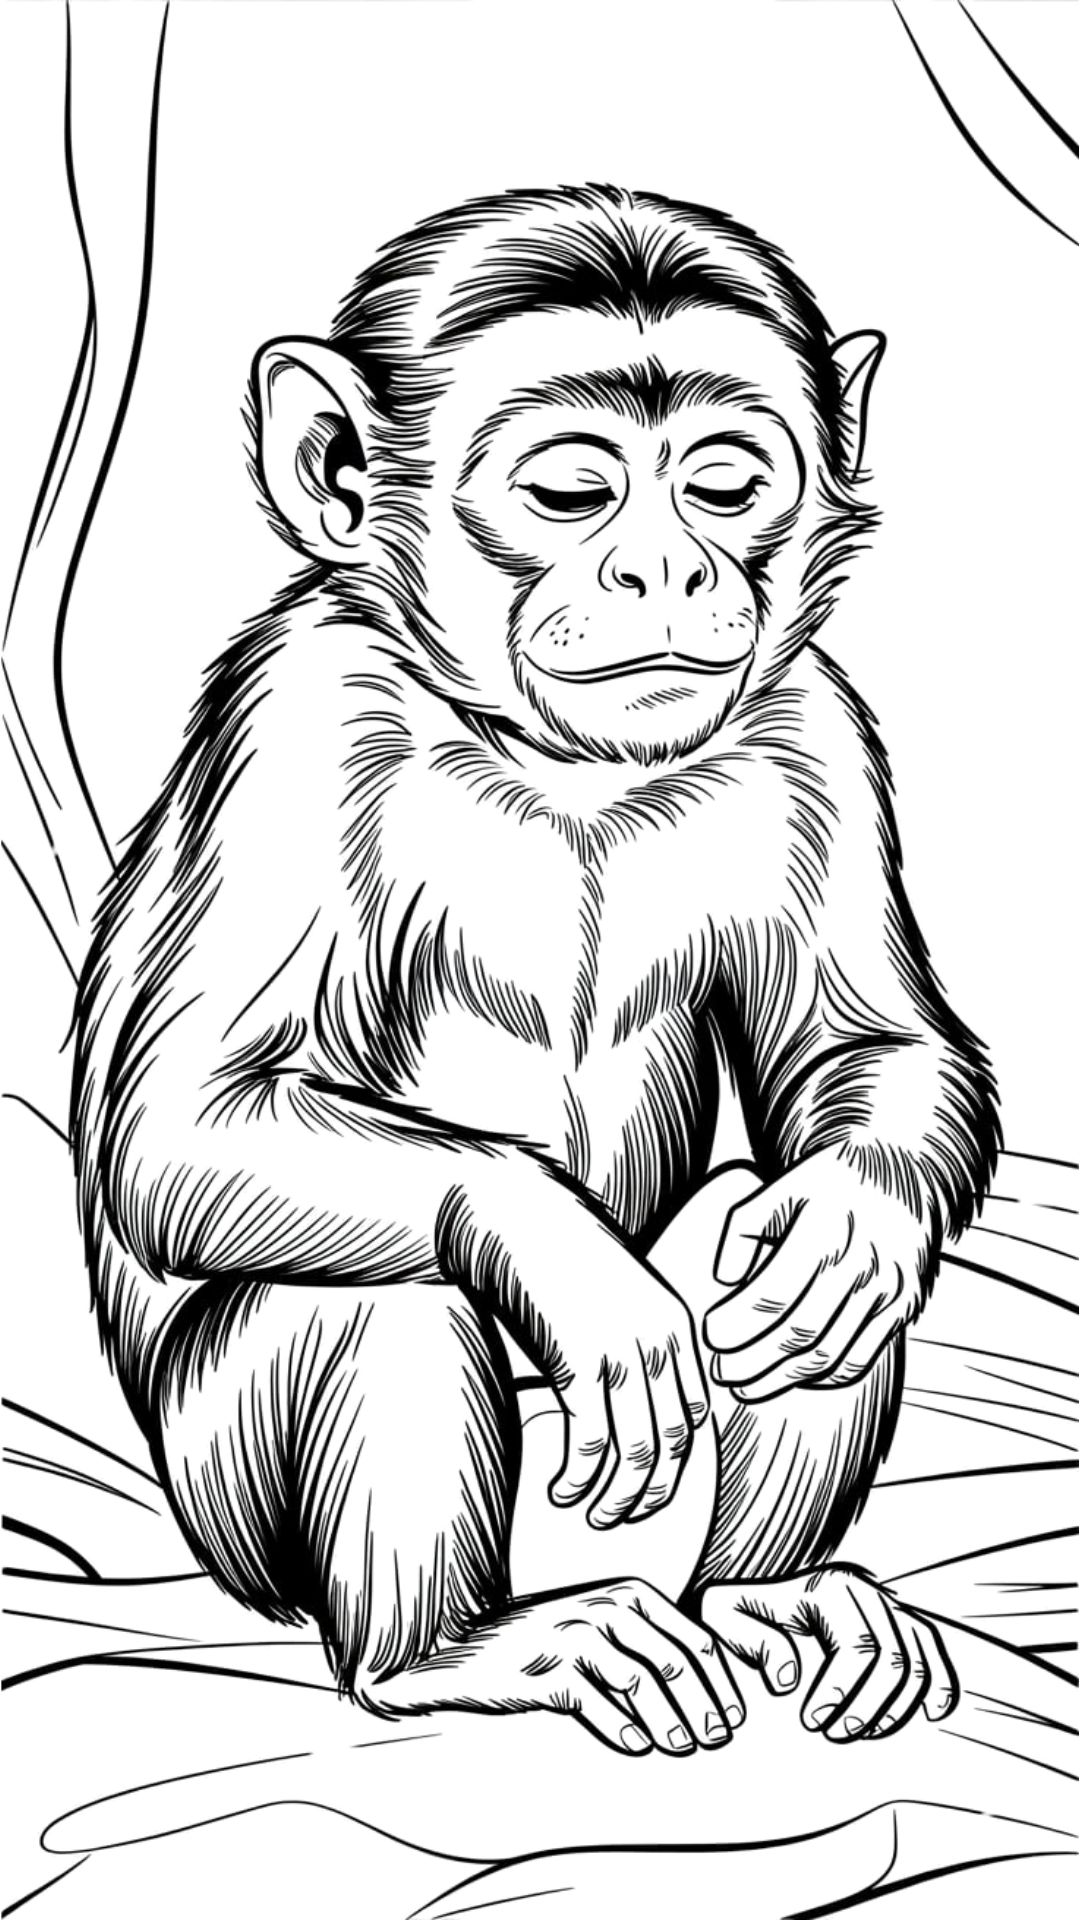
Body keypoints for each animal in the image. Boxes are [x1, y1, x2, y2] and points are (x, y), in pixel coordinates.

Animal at [71, 185, 998, 1758]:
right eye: (570, 490)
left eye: (726, 483)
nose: (665, 566)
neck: (558, 763)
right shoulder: (294, 719)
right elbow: (180, 1124)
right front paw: (554, 1246)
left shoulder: (819, 728)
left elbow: (869, 1062)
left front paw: (853, 1215)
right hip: (236, 1499)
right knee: (370, 1285)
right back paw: (443, 1649)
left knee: (775, 1243)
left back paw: (772, 1591)